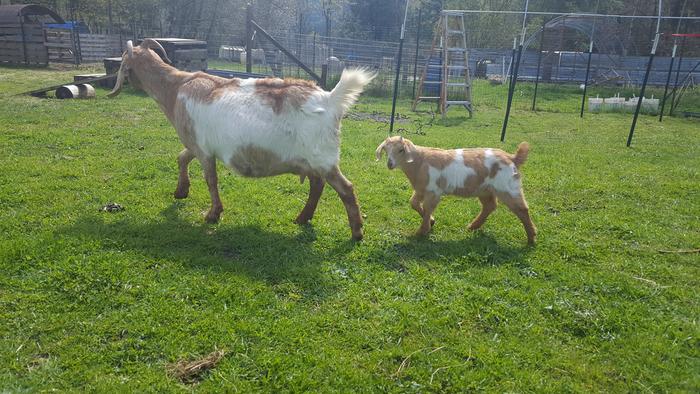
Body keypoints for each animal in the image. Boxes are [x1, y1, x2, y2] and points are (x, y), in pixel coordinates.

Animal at [107, 39, 374, 240]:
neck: (176, 88)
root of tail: (330, 99)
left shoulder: (203, 149)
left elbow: (211, 179)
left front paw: (212, 214)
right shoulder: (197, 144)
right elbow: (182, 157)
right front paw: (181, 191)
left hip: (322, 157)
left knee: (346, 189)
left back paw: (356, 233)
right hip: (309, 160)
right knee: (317, 185)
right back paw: (302, 218)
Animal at [378, 137, 536, 245]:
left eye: (401, 150)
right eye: (386, 150)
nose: (390, 164)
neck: (419, 162)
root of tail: (512, 157)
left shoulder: (433, 191)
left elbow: (428, 208)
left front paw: (422, 231)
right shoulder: (421, 189)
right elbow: (414, 203)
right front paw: (431, 222)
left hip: (507, 187)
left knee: (522, 209)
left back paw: (531, 238)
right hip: (484, 189)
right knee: (490, 206)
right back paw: (473, 226)